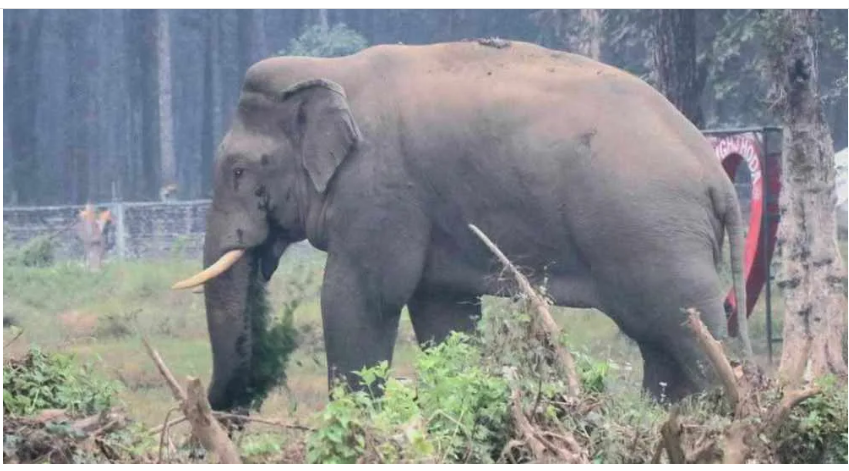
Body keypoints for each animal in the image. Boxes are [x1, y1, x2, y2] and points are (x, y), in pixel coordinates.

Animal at [172, 39, 749, 411]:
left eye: (238, 171)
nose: (234, 403)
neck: (330, 69)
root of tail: (714, 172)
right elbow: (443, 312)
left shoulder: (380, 190)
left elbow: (360, 296)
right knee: (661, 340)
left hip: (655, 235)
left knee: (688, 330)